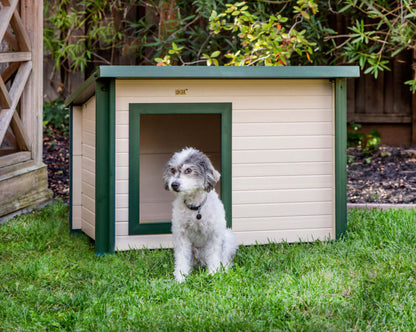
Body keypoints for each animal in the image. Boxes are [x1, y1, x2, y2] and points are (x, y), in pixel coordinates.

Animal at [164, 147, 239, 280]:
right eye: (172, 170)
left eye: (188, 170)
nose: (174, 184)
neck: (195, 208)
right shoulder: (181, 235)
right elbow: (182, 258)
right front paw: (180, 277)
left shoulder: (214, 235)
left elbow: (214, 256)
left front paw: (213, 273)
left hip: (228, 238)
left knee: (225, 260)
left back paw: (224, 270)